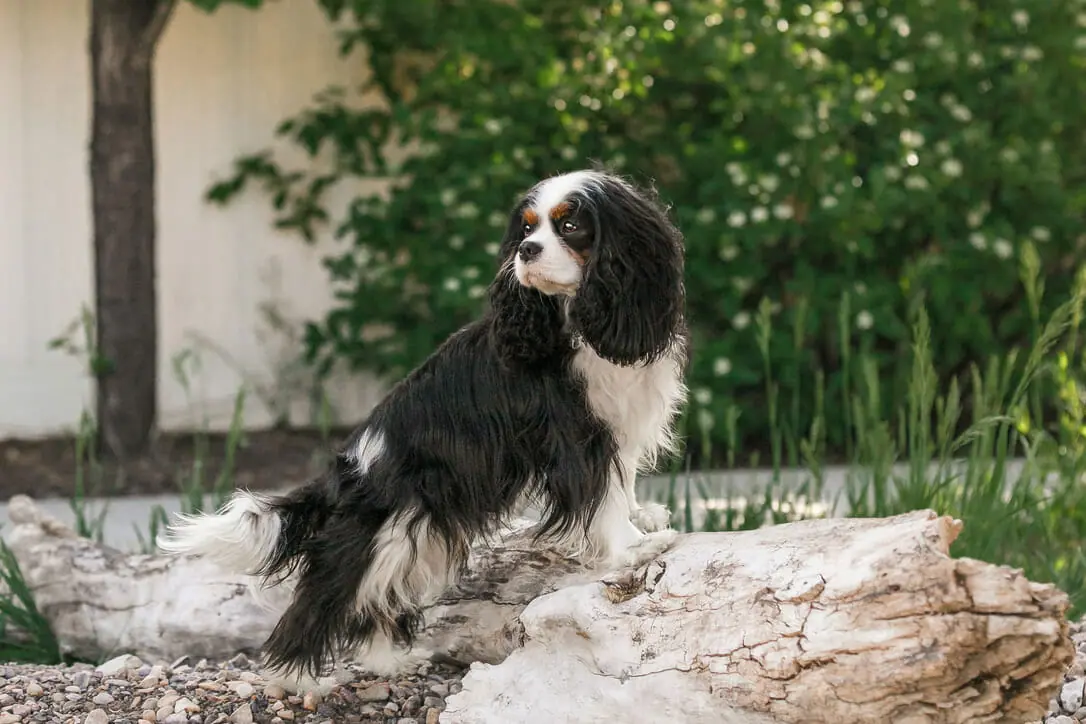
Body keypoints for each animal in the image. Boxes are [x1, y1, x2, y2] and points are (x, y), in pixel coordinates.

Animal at [158, 167, 686, 690]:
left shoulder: (618, 425)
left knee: (373, 599)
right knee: (324, 596)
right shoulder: (575, 437)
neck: (577, 317)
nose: (526, 251)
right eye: (526, 229)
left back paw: (387, 663)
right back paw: (296, 680)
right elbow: (602, 496)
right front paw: (632, 547)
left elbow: (622, 481)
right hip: (382, 533)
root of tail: (342, 470)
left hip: (417, 533)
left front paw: (643, 517)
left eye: (570, 226)